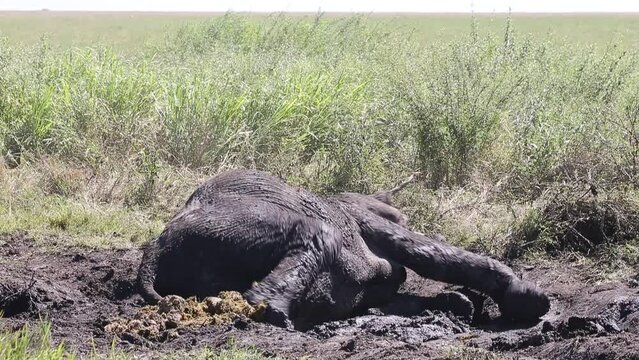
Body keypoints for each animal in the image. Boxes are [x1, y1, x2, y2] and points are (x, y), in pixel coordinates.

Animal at [138, 169, 552, 330]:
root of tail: (156, 246)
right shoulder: (362, 219)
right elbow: (423, 250)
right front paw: (529, 300)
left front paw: (463, 304)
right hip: (243, 220)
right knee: (312, 234)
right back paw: (274, 312)